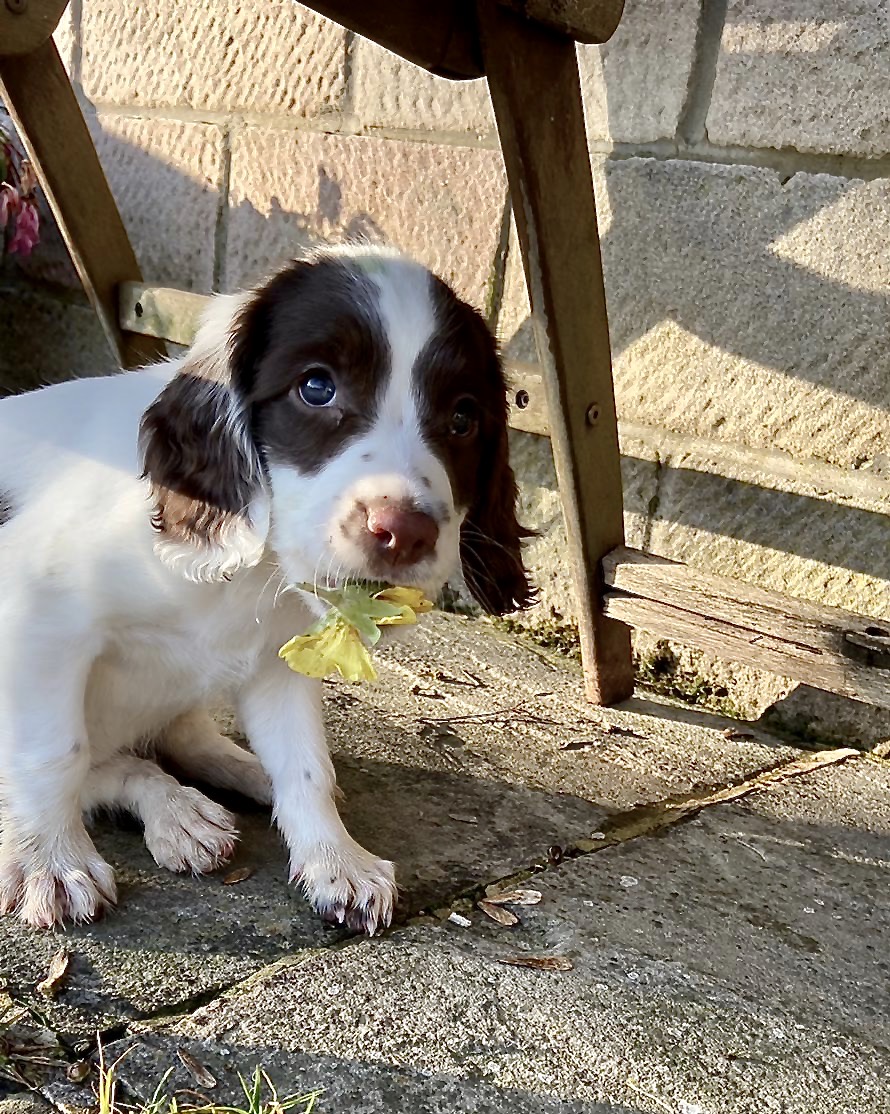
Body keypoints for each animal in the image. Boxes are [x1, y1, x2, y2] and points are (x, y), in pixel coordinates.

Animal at [0, 248, 532, 935]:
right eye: (315, 387)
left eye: (464, 418)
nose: (405, 532)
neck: (247, 570)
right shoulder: (40, 623)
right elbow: (53, 754)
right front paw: (52, 864)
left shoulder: (279, 660)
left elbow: (305, 763)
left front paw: (337, 861)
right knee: (102, 764)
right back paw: (176, 812)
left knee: (175, 738)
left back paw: (226, 783)